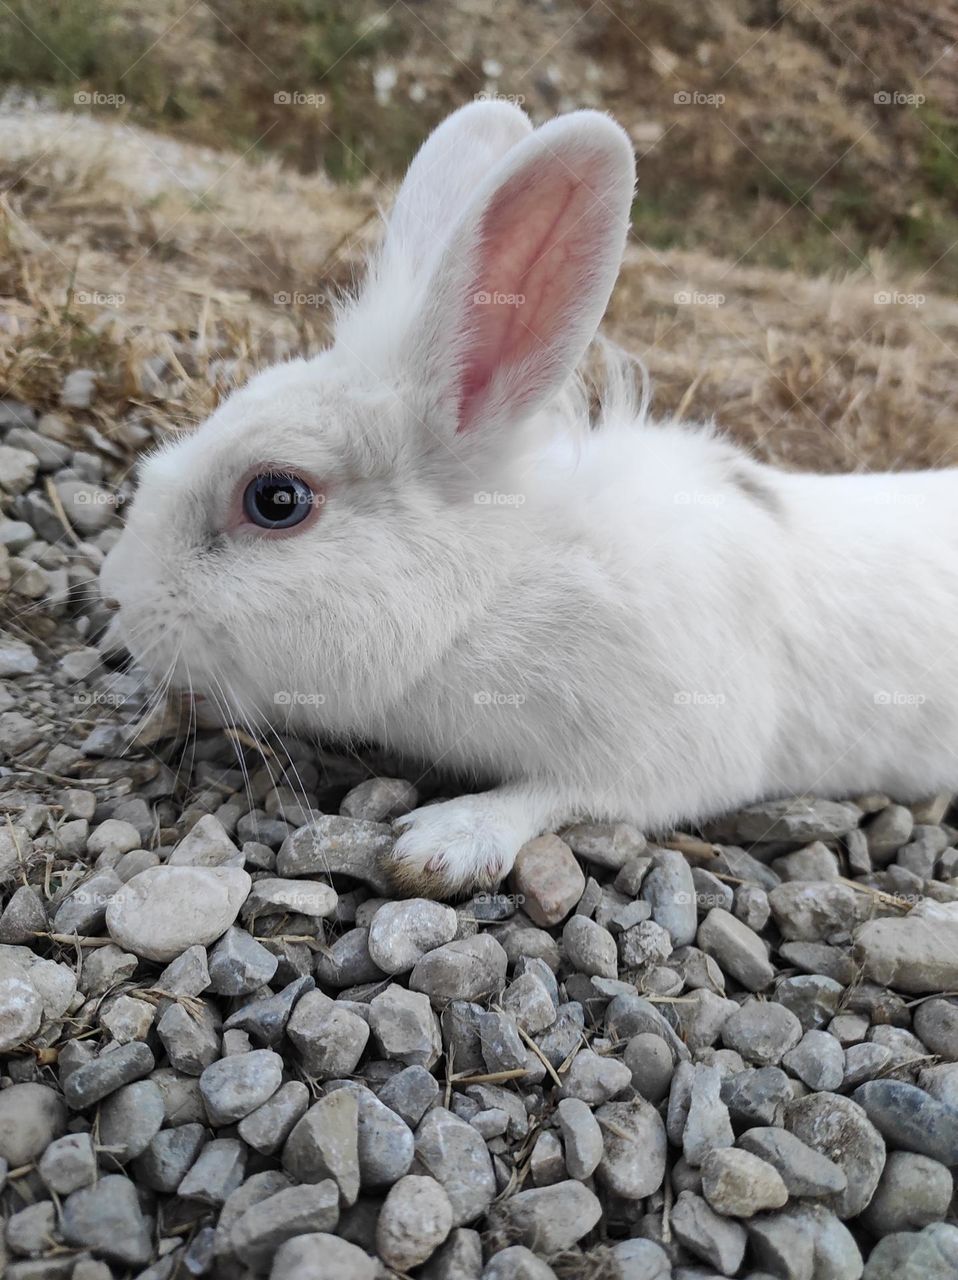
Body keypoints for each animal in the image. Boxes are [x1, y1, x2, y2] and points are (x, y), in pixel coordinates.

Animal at [101, 99, 957, 896]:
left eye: (276, 499)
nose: (120, 598)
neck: (491, 590)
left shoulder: (666, 749)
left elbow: (561, 794)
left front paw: (443, 843)